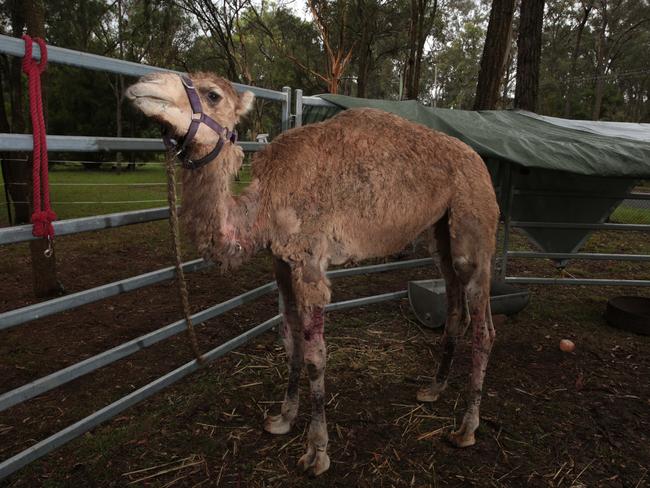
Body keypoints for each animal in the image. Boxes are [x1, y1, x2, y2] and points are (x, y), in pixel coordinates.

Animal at [125, 72, 496, 476]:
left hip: (474, 227)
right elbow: (292, 342)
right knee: (456, 307)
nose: (144, 83)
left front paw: (317, 452)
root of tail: (480, 163)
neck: (265, 203)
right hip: (441, 232)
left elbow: (316, 356)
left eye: (213, 95)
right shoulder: (281, 263)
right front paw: (282, 419)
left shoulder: (310, 265)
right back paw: (433, 389)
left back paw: (466, 428)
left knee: (484, 327)